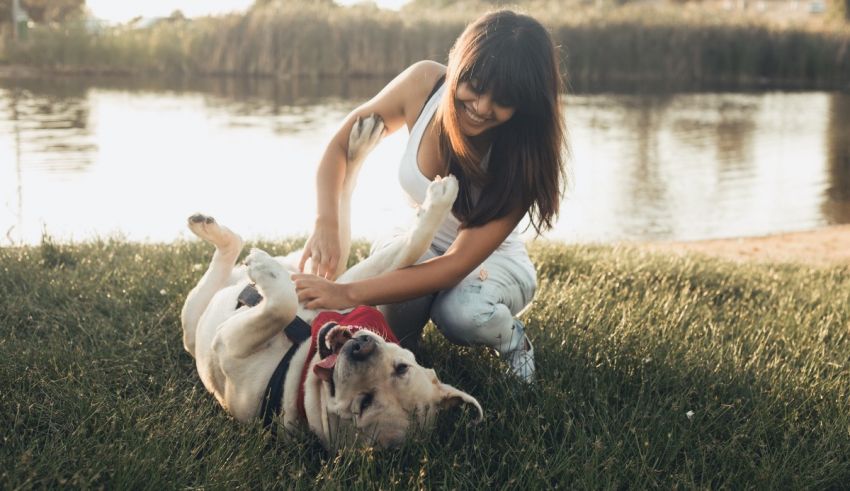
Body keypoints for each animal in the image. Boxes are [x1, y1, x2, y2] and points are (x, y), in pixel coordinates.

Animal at [179, 114, 480, 450]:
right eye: (402, 367)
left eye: (364, 403)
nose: (361, 348)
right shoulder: (351, 283)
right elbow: (413, 245)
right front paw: (441, 199)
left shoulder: (230, 345)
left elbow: (281, 306)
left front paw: (264, 270)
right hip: (332, 268)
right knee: (340, 214)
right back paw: (362, 140)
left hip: (194, 318)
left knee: (230, 255)